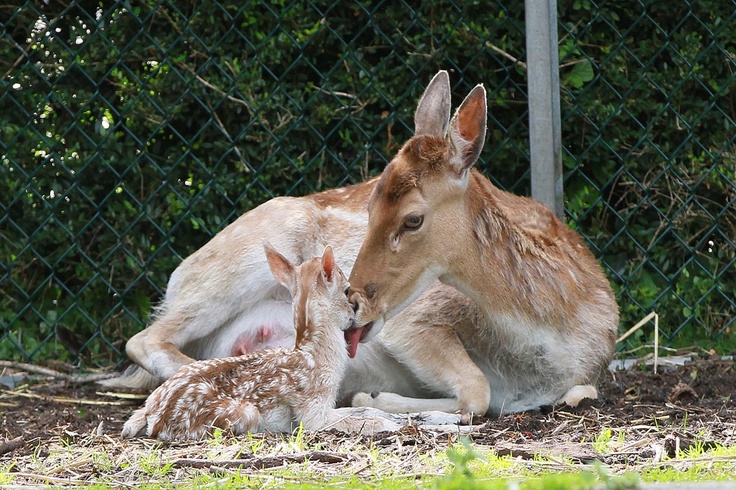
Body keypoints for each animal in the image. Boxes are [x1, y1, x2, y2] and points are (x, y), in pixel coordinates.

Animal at [348, 72, 620, 418]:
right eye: (370, 206)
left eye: (413, 219)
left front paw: (370, 397)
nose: (352, 303)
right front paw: (369, 397)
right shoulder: (412, 318)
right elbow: (478, 390)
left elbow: (576, 393)